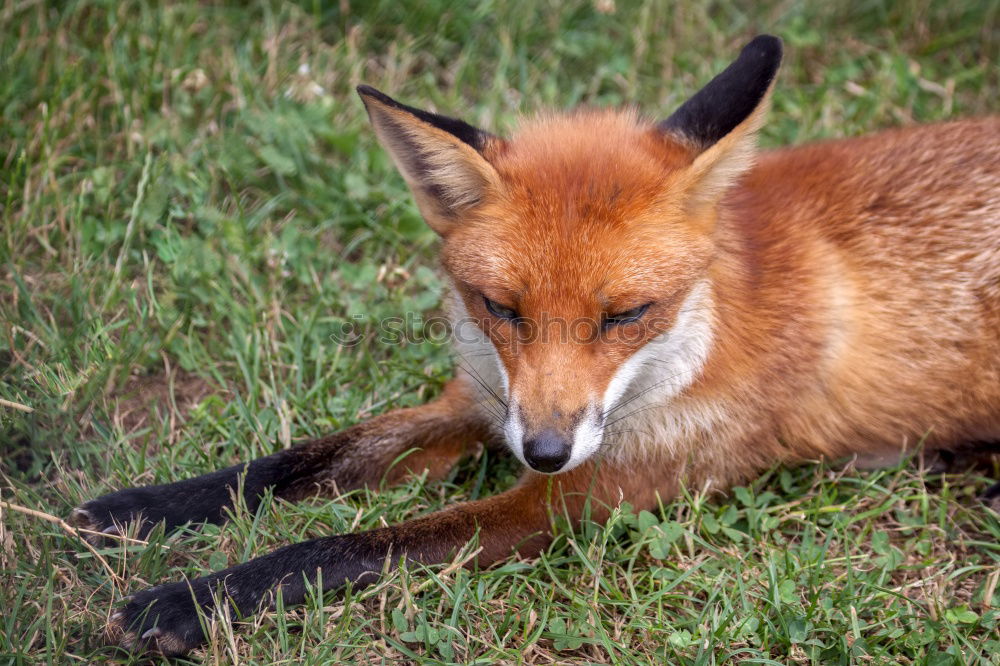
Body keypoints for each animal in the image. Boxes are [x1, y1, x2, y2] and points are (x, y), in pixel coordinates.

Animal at [70, 36, 1000, 652]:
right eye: (500, 308)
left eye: (626, 315)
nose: (544, 451)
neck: (700, 338)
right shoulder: (484, 400)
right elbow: (291, 465)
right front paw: (138, 508)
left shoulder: (581, 497)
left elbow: (353, 544)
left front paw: (192, 600)